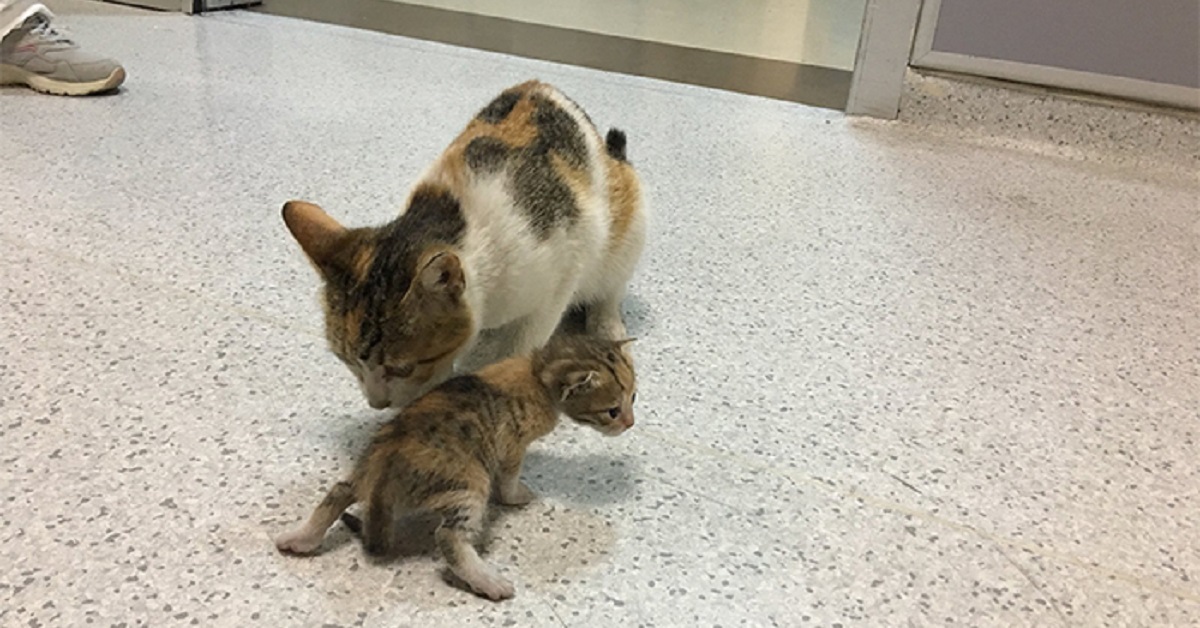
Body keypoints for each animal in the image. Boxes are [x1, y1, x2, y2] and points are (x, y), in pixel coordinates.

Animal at [277, 336, 643, 602]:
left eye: (634, 398)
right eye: (612, 410)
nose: (630, 423)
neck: (537, 373)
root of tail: (382, 470)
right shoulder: (512, 446)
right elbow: (509, 477)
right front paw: (516, 495)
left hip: (365, 466)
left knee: (339, 491)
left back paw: (299, 539)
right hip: (469, 485)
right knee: (449, 537)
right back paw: (490, 582)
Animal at [282, 78, 648, 410]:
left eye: (403, 367)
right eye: (347, 362)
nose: (377, 404)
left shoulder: (562, 271)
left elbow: (522, 342)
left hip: (629, 227)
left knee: (609, 288)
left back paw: (606, 327)